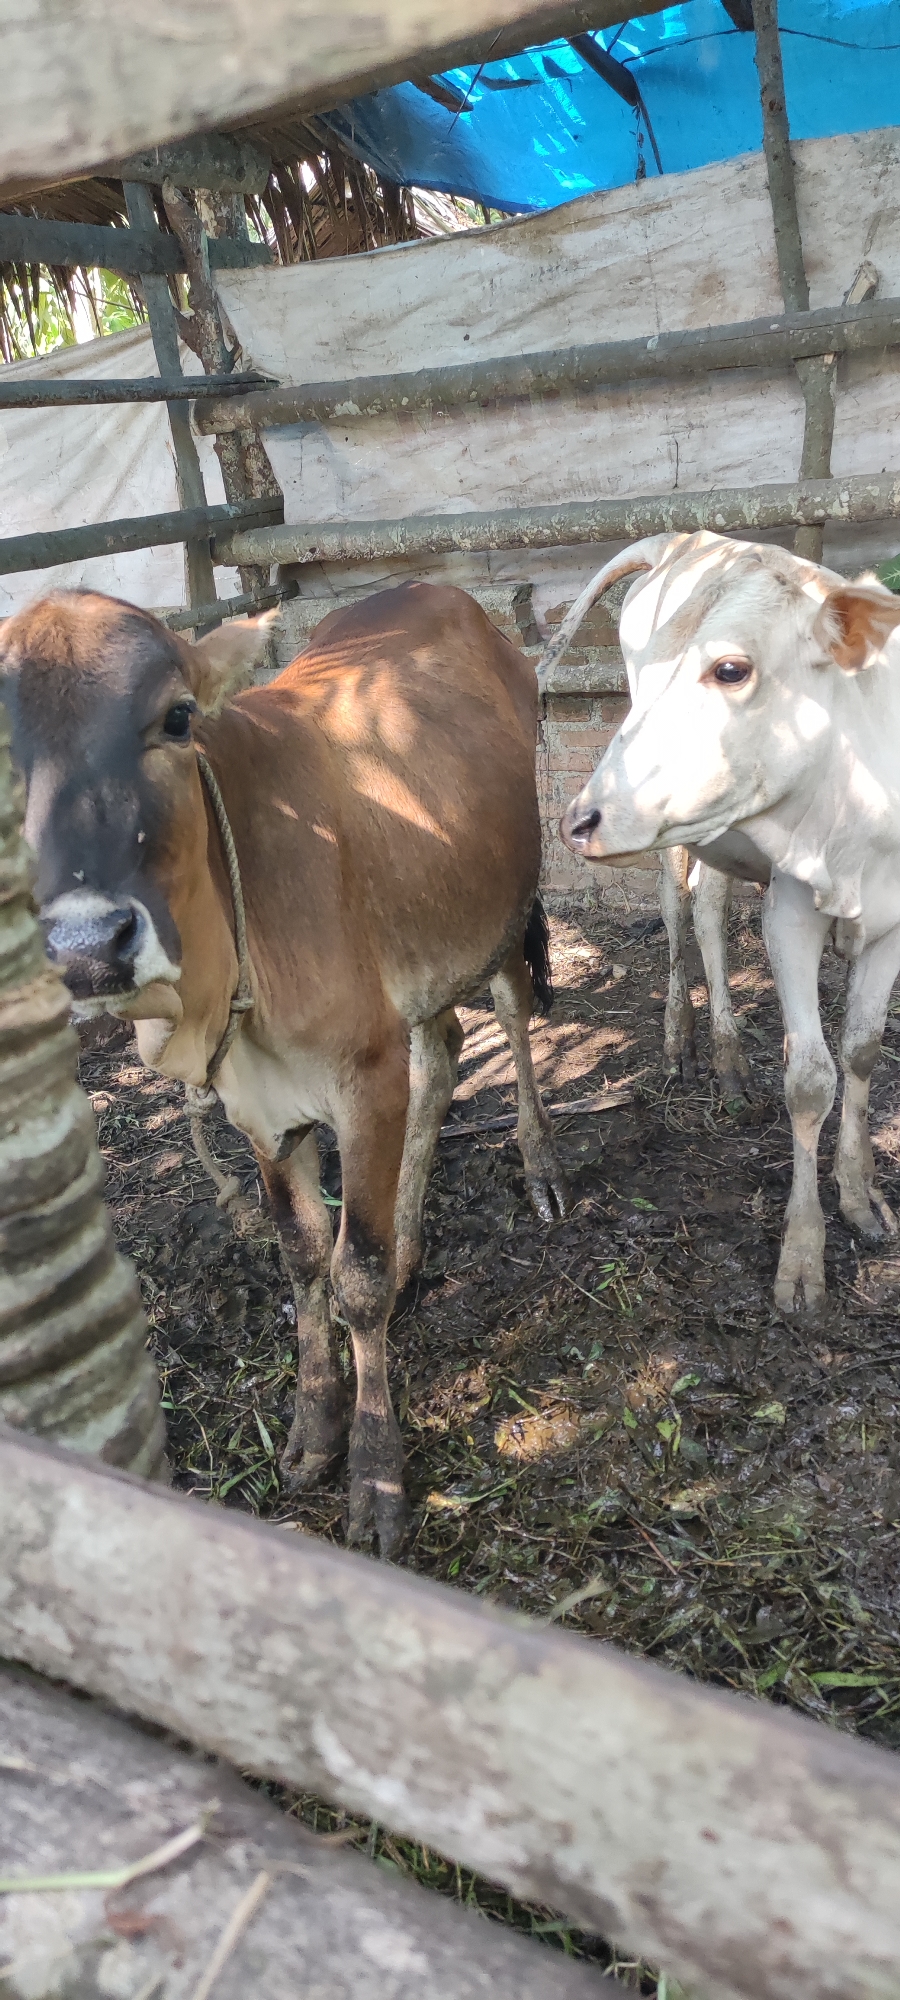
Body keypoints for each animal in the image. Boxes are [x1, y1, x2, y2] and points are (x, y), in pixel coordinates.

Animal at [1, 582, 567, 1554]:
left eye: (177, 717)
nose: (85, 946)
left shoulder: (365, 1079)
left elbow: (357, 1277)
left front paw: (375, 1474)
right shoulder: (260, 1109)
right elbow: (304, 1257)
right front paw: (311, 1430)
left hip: (498, 914)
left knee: (511, 1015)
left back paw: (537, 1169)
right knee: (445, 1053)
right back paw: (416, 1244)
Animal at [548, 530, 900, 1313]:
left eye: (731, 668)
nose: (578, 820)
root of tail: (689, 536)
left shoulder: (897, 926)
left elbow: (862, 1052)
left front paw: (860, 1193)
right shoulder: (790, 912)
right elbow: (810, 1078)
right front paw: (802, 1258)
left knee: (708, 902)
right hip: (669, 831)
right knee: (681, 913)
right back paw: (694, 1044)